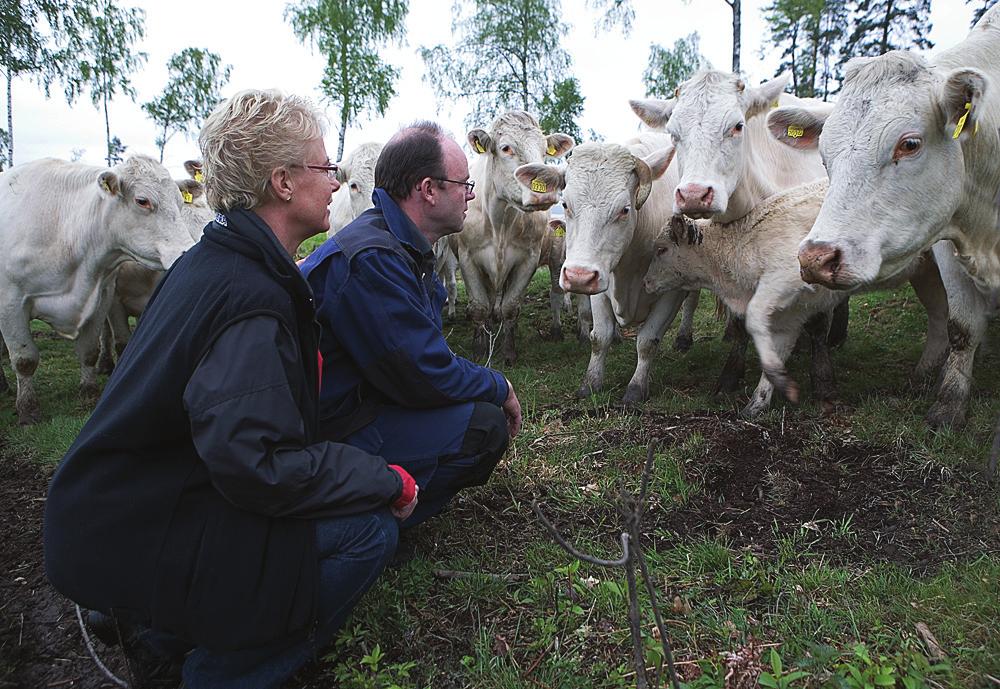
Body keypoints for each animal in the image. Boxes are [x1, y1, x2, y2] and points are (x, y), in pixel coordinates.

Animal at [458, 110, 576, 362]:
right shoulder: (467, 258)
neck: (499, 222)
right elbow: (479, 306)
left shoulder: (527, 259)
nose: (544, 191)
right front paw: (479, 349)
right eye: (506, 148)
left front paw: (509, 351)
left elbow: (510, 306)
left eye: (544, 151)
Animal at [516, 134, 688, 404]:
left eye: (625, 209)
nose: (578, 276)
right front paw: (590, 383)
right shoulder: (599, 285)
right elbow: (600, 337)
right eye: (565, 204)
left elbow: (647, 341)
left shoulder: (673, 292)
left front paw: (636, 388)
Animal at [644, 180, 948, 416]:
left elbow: (757, 325)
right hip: (927, 274)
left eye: (661, 249)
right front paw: (758, 404)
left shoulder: (783, 283)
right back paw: (924, 376)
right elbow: (774, 355)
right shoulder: (789, 316)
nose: (646, 282)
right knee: (940, 317)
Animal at [772, 5, 1000, 428]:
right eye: (824, 153)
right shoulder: (948, 247)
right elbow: (961, 326)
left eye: (909, 144)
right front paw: (948, 405)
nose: (815, 258)